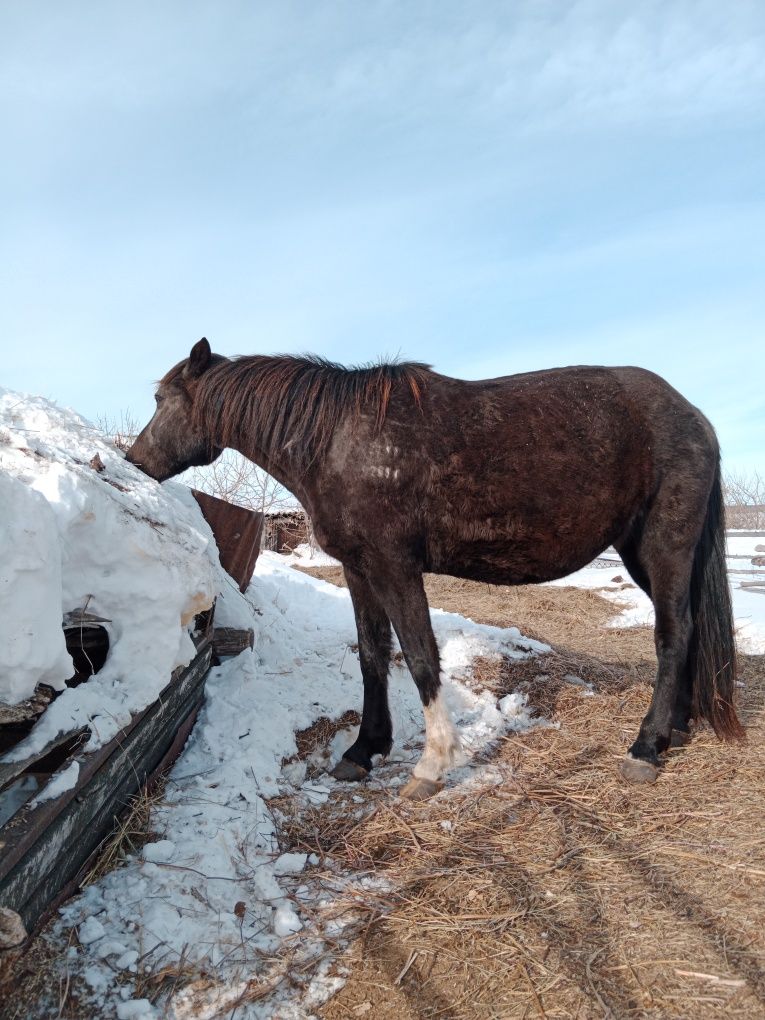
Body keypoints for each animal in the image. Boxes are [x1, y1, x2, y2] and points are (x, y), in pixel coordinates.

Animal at [125, 338, 742, 799]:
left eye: (159, 398)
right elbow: (372, 655)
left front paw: (433, 763)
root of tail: (695, 418)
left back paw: (645, 748)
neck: (338, 442)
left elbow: (421, 656)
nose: (134, 461)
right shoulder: (359, 569)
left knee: (672, 635)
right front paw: (364, 750)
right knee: (685, 630)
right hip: (640, 553)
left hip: (664, 546)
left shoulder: (395, 566)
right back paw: (675, 729)